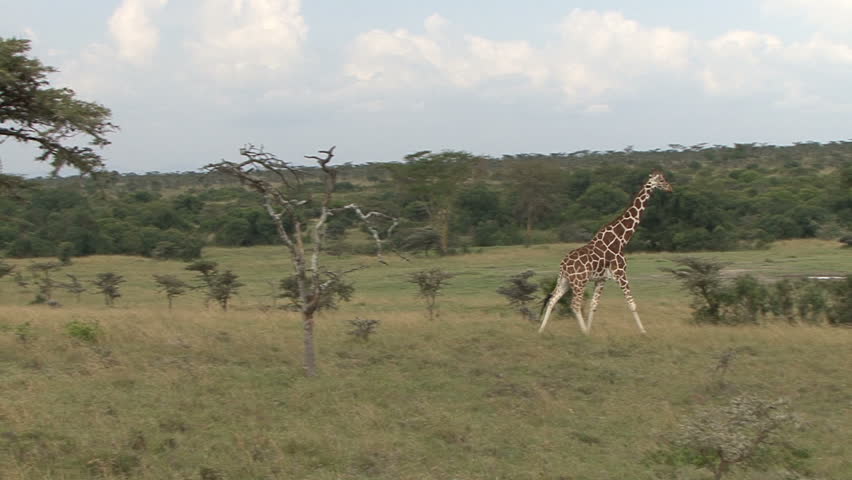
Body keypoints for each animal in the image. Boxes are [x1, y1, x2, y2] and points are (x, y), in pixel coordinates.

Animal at [538, 170, 673, 335]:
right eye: (661, 180)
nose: (670, 188)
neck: (620, 240)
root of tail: (563, 265)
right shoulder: (621, 273)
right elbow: (632, 303)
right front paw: (643, 332)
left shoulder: (601, 279)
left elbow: (594, 306)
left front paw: (590, 330)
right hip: (579, 281)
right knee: (574, 305)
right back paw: (583, 333)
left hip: (565, 281)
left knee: (553, 300)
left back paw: (540, 330)